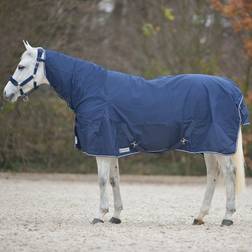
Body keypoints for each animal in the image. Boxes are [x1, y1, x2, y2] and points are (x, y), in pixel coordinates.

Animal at [2, 41, 249, 226]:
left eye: (21, 66)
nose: (6, 93)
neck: (91, 89)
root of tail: (232, 90)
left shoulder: (102, 146)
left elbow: (102, 180)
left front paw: (99, 215)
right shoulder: (112, 147)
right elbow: (114, 179)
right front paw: (116, 215)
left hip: (217, 145)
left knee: (229, 174)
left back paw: (227, 217)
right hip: (208, 146)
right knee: (213, 175)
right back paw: (199, 217)